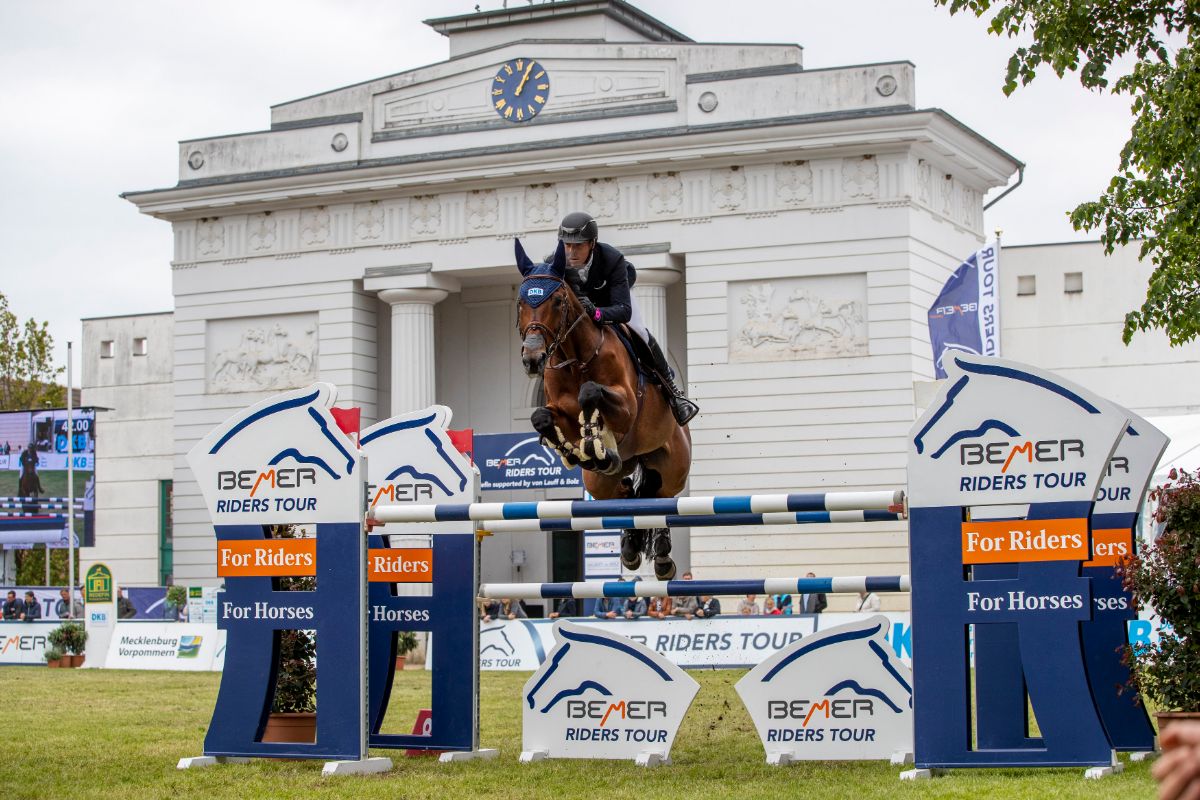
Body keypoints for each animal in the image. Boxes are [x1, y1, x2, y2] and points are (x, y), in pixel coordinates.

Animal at [511, 239, 691, 582]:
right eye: (520, 302)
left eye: (557, 301)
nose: (532, 358)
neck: (576, 360)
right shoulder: (558, 410)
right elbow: (542, 417)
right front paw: (578, 452)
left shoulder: (628, 407)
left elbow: (591, 393)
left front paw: (594, 440)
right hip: (601, 484)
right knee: (627, 497)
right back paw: (630, 545)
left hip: (674, 466)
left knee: (661, 496)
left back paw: (661, 557)